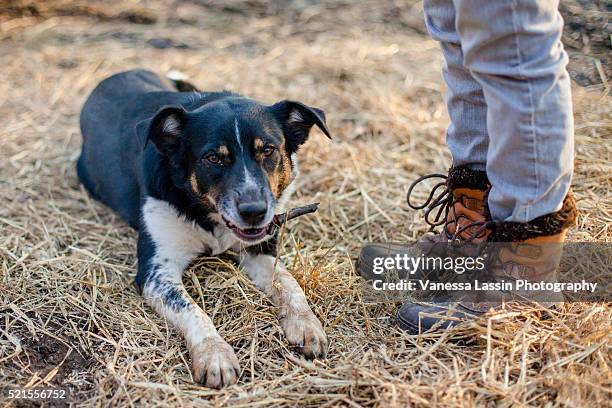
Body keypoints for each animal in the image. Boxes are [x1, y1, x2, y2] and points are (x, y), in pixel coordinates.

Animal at [79, 68, 332, 388]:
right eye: (213, 158)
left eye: (268, 150)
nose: (254, 212)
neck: (207, 215)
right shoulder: (156, 271)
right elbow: (193, 310)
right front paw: (214, 354)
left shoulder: (259, 250)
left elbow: (288, 283)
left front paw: (305, 324)